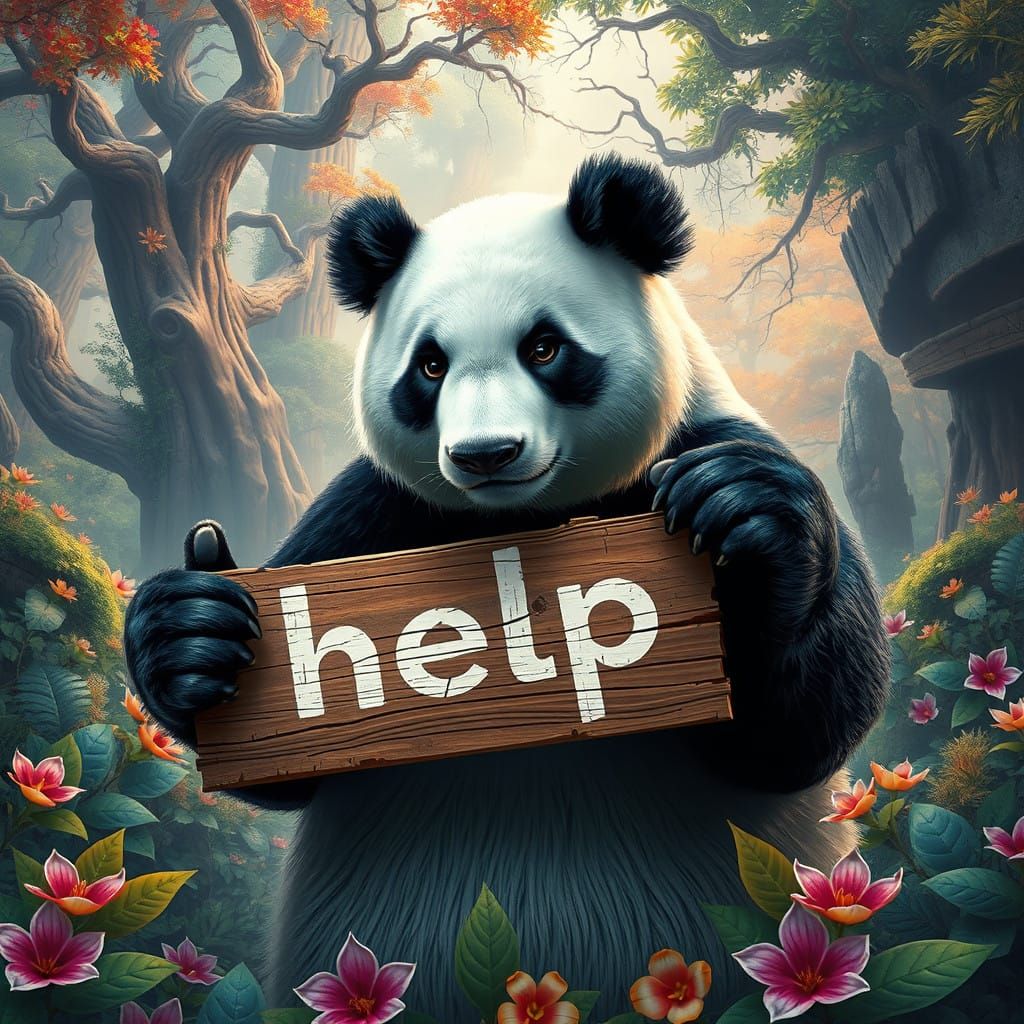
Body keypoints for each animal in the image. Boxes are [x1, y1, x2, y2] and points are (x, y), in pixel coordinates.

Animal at [124, 154, 890, 1019]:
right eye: (429, 365)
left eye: (546, 347)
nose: (486, 453)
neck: (523, 526)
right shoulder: (372, 513)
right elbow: (290, 763)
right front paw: (196, 634)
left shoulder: (700, 438)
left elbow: (796, 736)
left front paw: (742, 515)